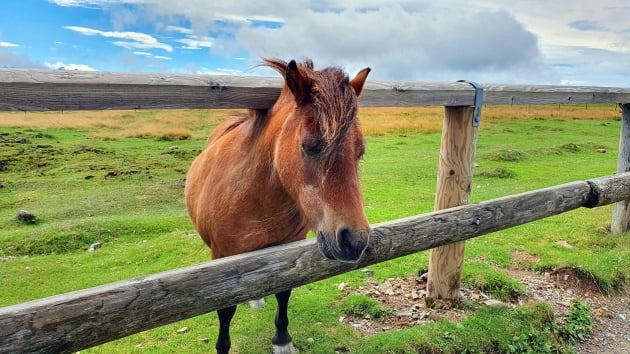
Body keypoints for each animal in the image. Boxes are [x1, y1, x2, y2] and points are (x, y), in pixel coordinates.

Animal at [185, 58, 372, 354]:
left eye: (360, 152)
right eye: (309, 146)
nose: (354, 240)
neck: (255, 200)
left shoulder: (288, 249)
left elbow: (283, 292)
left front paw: (282, 340)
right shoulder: (221, 257)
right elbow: (225, 309)